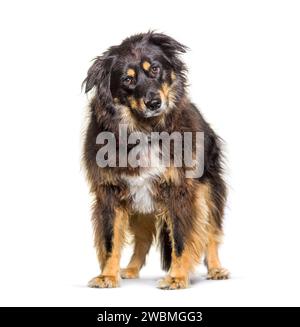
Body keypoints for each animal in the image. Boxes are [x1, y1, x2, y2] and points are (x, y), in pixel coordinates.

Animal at [82, 32, 230, 290]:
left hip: (209, 191)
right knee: (142, 240)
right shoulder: (110, 192)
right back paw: (130, 269)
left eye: (155, 69)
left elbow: (181, 238)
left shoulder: (181, 191)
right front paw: (107, 275)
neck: (145, 131)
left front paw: (177, 277)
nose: (154, 103)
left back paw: (216, 269)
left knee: (211, 231)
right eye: (127, 79)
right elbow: (111, 239)